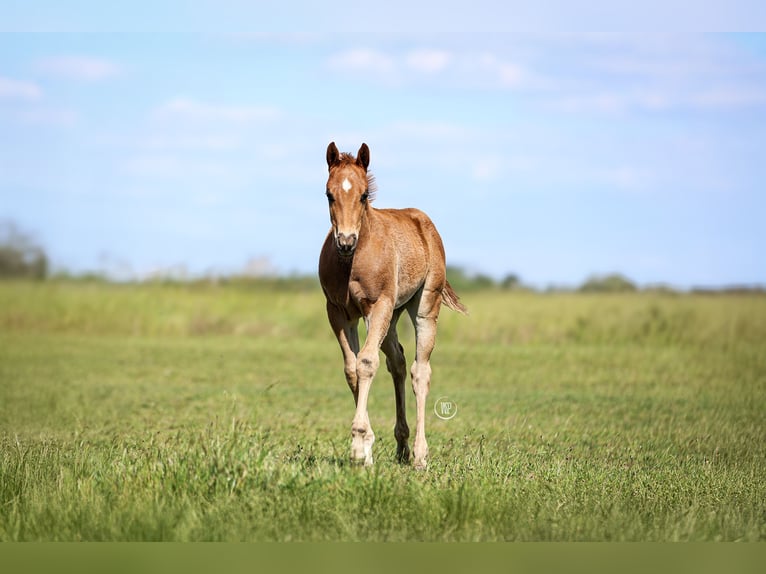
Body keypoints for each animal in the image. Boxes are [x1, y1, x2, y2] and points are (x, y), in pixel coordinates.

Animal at [318, 142, 467, 470]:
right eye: (329, 194)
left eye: (363, 195)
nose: (345, 241)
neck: (353, 261)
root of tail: (424, 222)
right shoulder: (338, 313)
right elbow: (351, 368)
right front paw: (366, 448)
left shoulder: (378, 306)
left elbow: (366, 363)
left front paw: (359, 447)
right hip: (392, 317)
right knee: (397, 361)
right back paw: (402, 447)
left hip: (423, 306)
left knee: (419, 371)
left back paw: (420, 455)